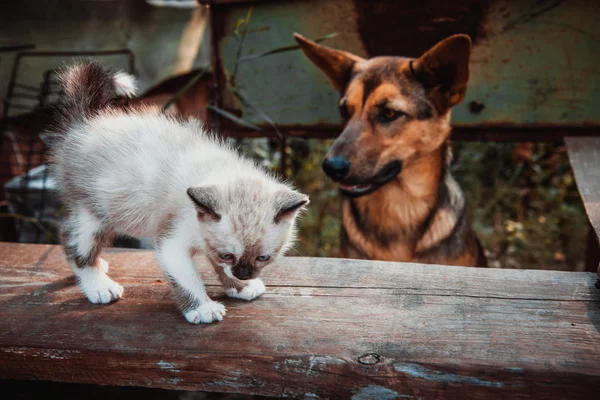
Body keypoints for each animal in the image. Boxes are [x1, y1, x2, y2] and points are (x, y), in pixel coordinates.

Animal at [48, 63, 308, 324]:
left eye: (263, 258)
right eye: (227, 255)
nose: (243, 274)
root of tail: (85, 123)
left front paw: (240, 287)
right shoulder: (172, 242)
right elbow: (188, 279)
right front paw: (202, 308)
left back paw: (100, 265)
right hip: (93, 211)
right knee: (71, 238)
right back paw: (98, 285)